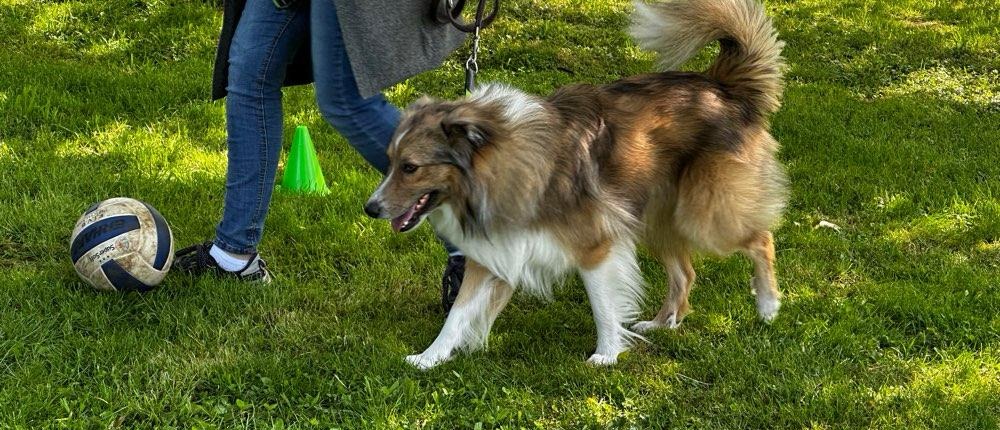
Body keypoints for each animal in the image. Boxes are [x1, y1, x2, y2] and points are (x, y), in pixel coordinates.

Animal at [366, 0, 788, 370]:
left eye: (410, 167)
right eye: (390, 162)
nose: (370, 209)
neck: (500, 162)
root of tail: (724, 87)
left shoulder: (595, 245)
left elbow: (603, 305)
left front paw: (607, 354)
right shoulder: (494, 254)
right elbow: (457, 315)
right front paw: (428, 358)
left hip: (704, 213)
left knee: (760, 239)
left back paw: (768, 306)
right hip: (654, 216)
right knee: (685, 272)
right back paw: (663, 322)